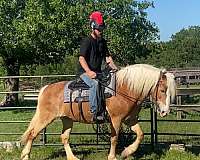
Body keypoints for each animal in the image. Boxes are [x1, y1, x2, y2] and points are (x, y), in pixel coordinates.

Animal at [21, 63, 176, 160]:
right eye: (163, 90)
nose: (165, 112)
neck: (124, 89)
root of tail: (45, 88)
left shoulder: (129, 120)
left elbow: (140, 134)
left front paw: (126, 152)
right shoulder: (116, 119)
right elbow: (114, 138)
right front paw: (112, 156)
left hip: (67, 119)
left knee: (64, 137)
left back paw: (72, 157)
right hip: (45, 117)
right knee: (32, 134)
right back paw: (25, 156)